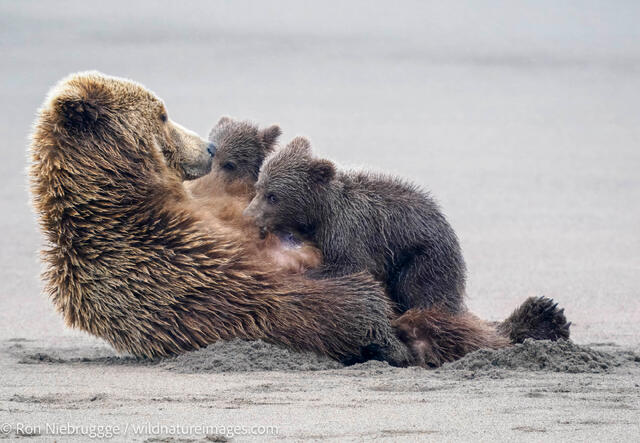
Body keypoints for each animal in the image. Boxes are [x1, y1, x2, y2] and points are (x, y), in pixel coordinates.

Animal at [244, 136, 467, 314]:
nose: (248, 215)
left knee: (423, 291)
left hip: (423, 258)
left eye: (273, 196)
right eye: (259, 187)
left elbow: (352, 265)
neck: (319, 214)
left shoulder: (348, 229)